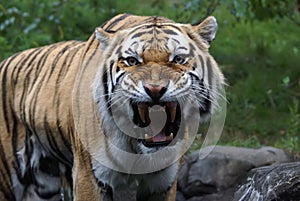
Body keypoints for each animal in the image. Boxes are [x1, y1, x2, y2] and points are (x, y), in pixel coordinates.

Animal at [0, 13, 225, 200]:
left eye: (178, 59)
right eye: (132, 61)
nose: (155, 89)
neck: (136, 146)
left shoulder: (162, 183)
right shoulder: (88, 177)